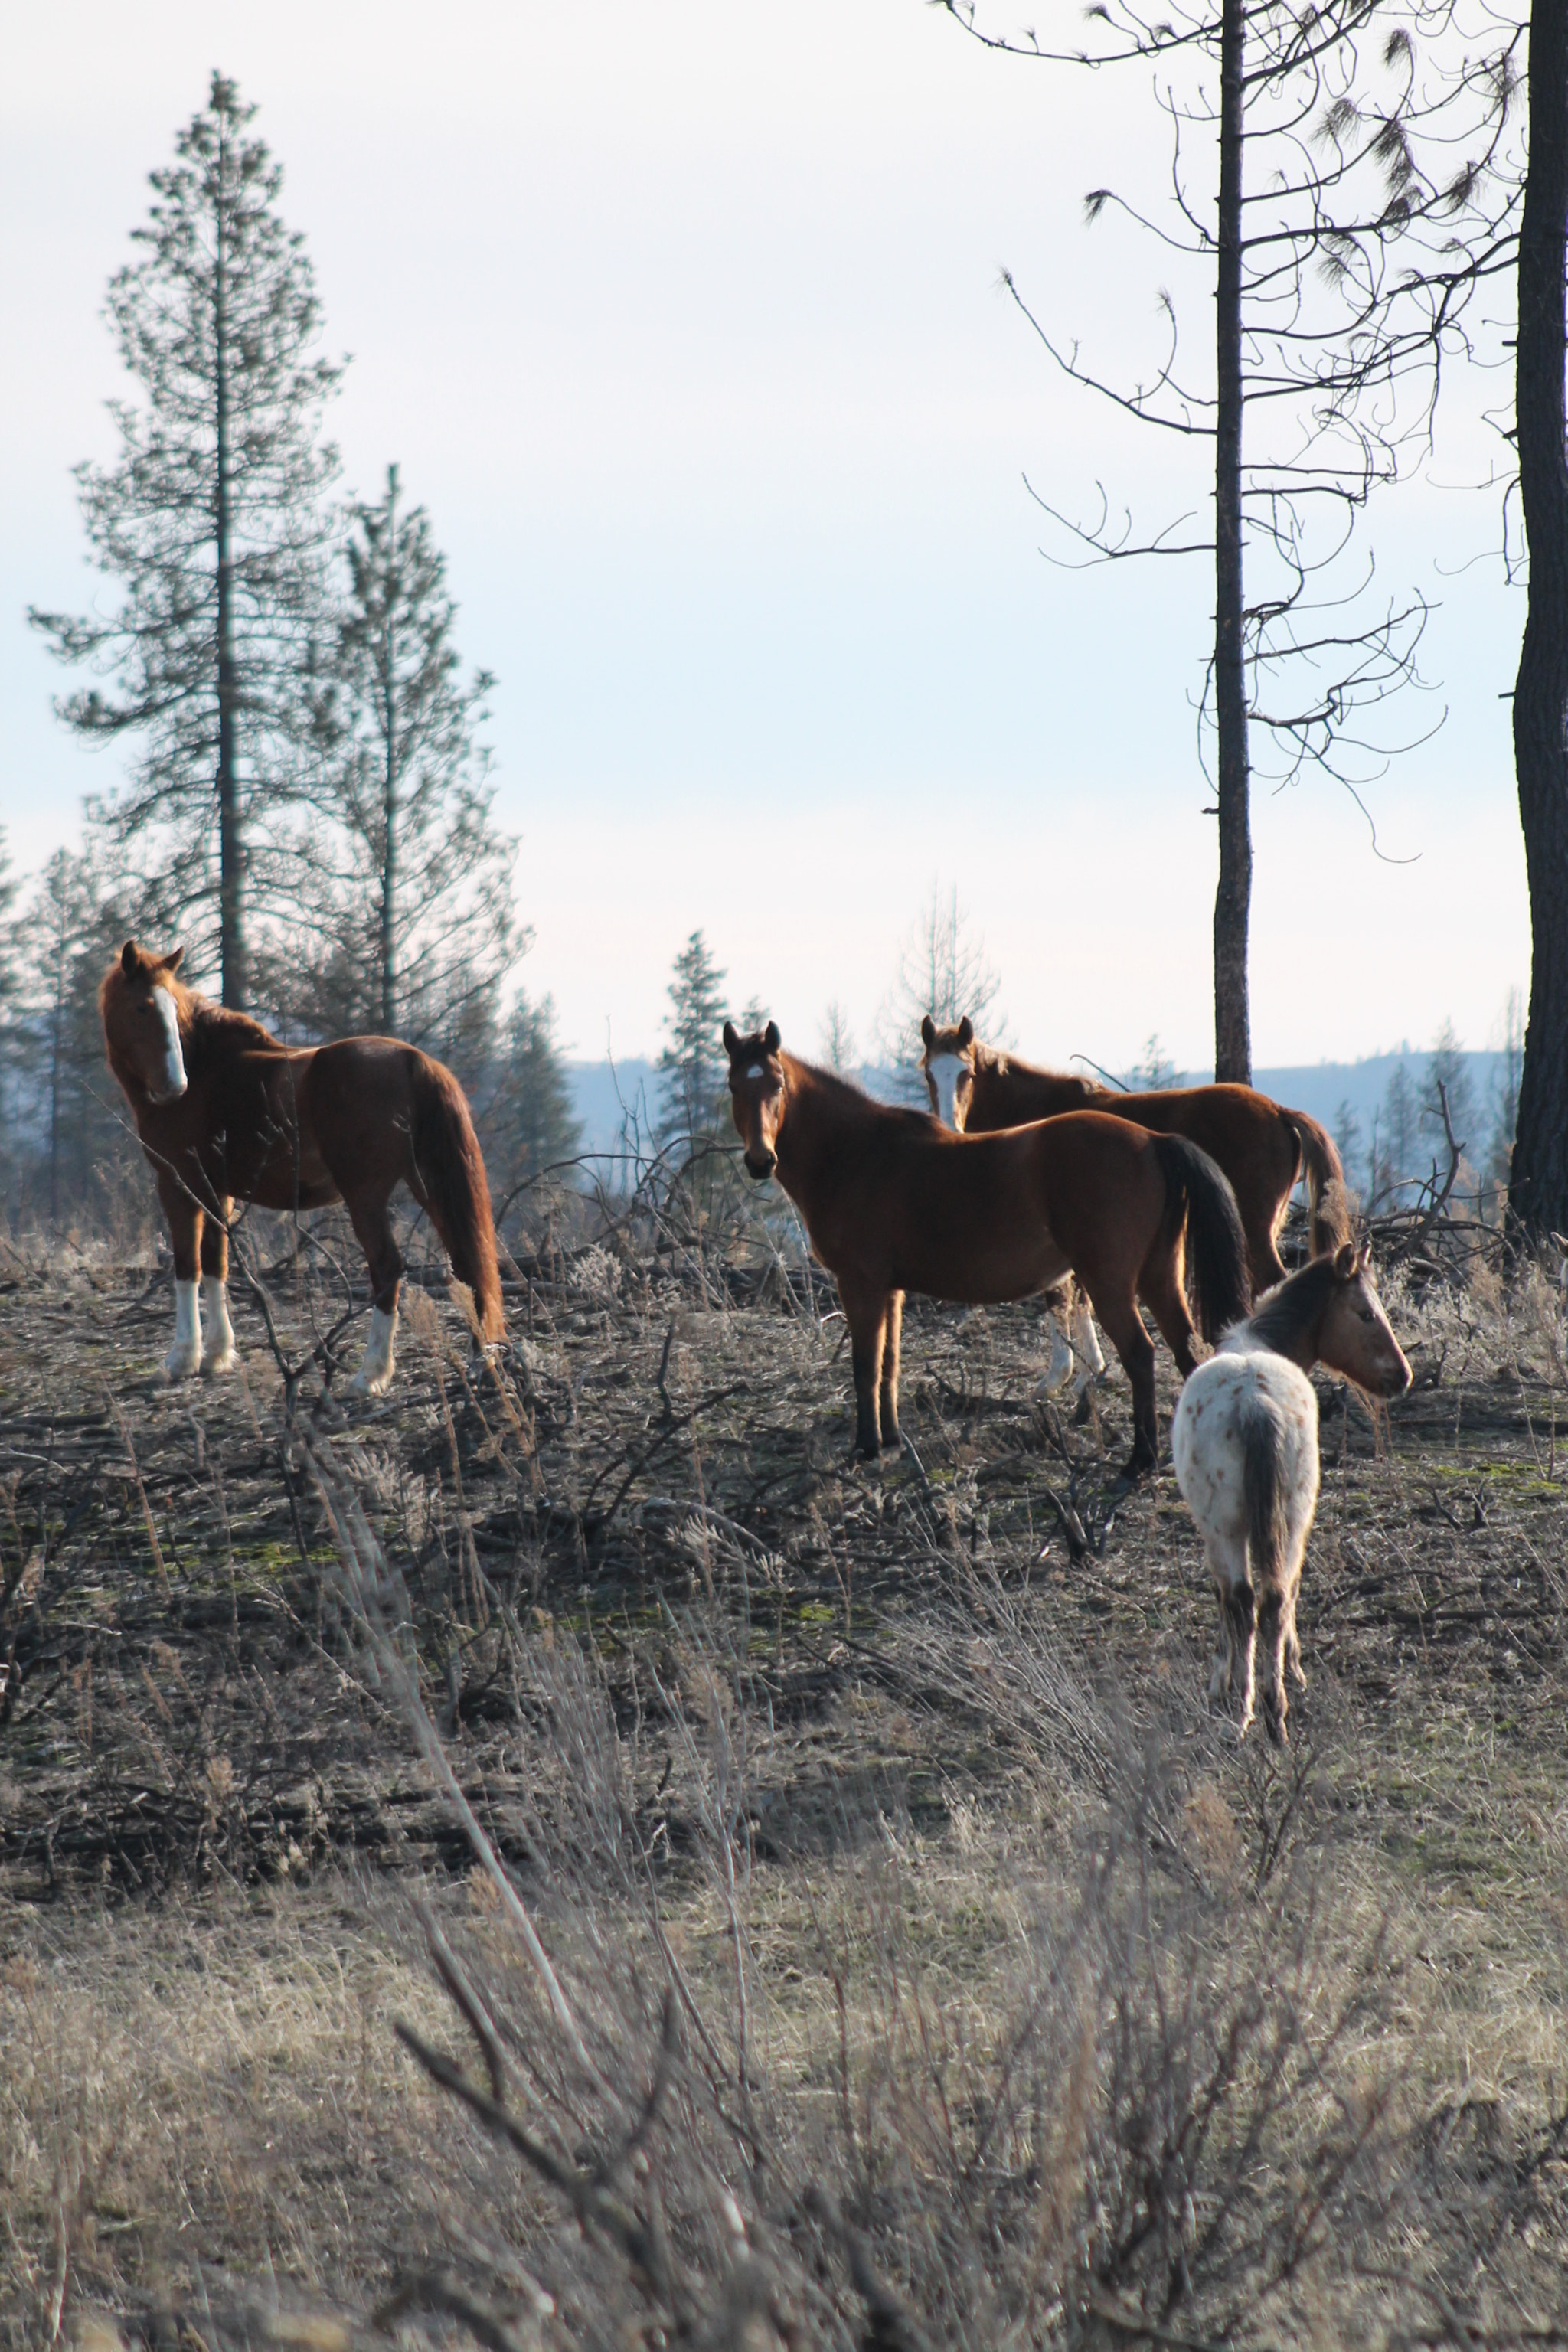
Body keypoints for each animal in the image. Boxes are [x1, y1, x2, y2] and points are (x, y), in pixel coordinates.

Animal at [101, 936, 503, 1383]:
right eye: (143, 1008)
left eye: (172, 1009)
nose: (175, 1085)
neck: (208, 1072)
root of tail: (413, 1061)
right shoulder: (217, 1192)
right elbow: (216, 1263)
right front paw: (218, 1353)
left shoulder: (178, 1185)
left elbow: (187, 1266)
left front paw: (182, 1357)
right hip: (429, 1184)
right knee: (468, 1263)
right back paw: (479, 1360)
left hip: (365, 1195)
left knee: (388, 1266)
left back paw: (370, 1375)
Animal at [724, 1025, 1250, 1467]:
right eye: (733, 1086)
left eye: (777, 1085)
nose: (760, 1160)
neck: (858, 1154)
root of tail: (1155, 1140)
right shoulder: (889, 1291)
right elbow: (890, 1365)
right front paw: (890, 1441)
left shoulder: (861, 1286)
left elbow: (865, 1367)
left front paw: (867, 1447)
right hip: (1160, 1276)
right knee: (1186, 1350)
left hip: (1111, 1283)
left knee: (1141, 1355)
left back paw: (1140, 1461)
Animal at [1175, 1242, 1410, 1740]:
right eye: (1366, 1314)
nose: (1403, 1377)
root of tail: (1255, 1402)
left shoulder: (1216, 1536)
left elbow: (1225, 1600)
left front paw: (1221, 1679)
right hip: (1291, 1515)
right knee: (1275, 1595)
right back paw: (1273, 1708)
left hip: (1234, 1528)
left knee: (1248, 1600)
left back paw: (1247, 1709)